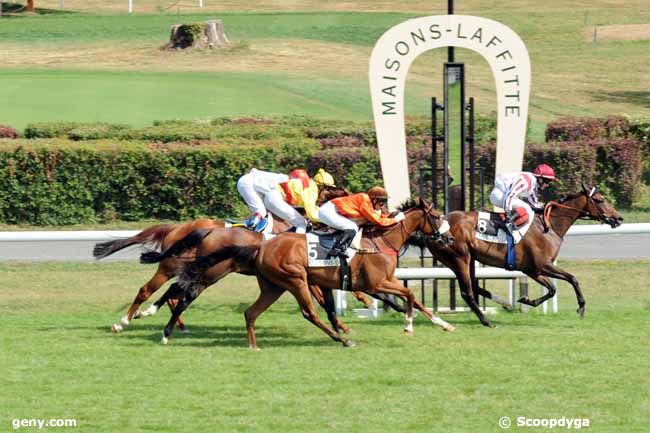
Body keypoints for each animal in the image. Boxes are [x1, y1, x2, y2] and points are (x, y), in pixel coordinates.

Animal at [93, 185, 372, 330]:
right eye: (341, 193)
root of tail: (175, 229)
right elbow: (324, 297)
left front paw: (357, 306)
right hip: (171, 267)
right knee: (147, 290)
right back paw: (124, 321)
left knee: (173, 294)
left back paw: (175, 324)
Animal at [170, 196, 456, 348]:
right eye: (437, 216)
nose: (450, 238)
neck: (381, 240)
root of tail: (261, 247)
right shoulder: (375, 283)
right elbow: (409, 295)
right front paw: (408, 326)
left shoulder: (386, 280)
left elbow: (415, 299)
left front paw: (444, 324)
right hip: (294, 280)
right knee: (309, 312)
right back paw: (341, 340)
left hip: (274, 286)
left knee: (250, 312)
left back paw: (253, 345)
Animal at [422, 181, 620, 326]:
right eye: (600, 200)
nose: (618, 218)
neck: (549, 226)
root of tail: (435, 230)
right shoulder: (541, 265)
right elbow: (570, 279)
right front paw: (581, 307)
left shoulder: (532, 270)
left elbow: (554, 288)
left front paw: (526, 300)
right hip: (460, 258)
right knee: (467, 292)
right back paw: (486, 321)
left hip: (469, 259)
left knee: (475, 287)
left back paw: (502, 304)